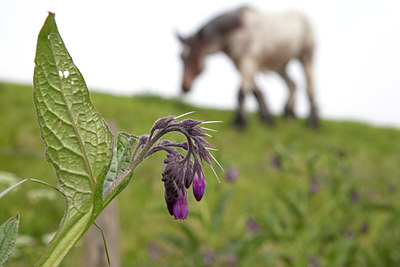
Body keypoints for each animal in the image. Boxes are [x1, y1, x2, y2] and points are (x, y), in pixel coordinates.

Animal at [178, 5, 318, 129]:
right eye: (180, 57)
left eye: (192, 56)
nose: (184, 87)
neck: (238, 30)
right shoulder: (239, 64)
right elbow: (256, 91)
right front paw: (266, 119)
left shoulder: (248, 62)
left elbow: (241, 92)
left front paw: (239, 123)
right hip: (280, 65)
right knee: (292, 84)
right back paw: (290, 115)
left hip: (306, 57)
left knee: (310, 87)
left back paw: (312, 122)